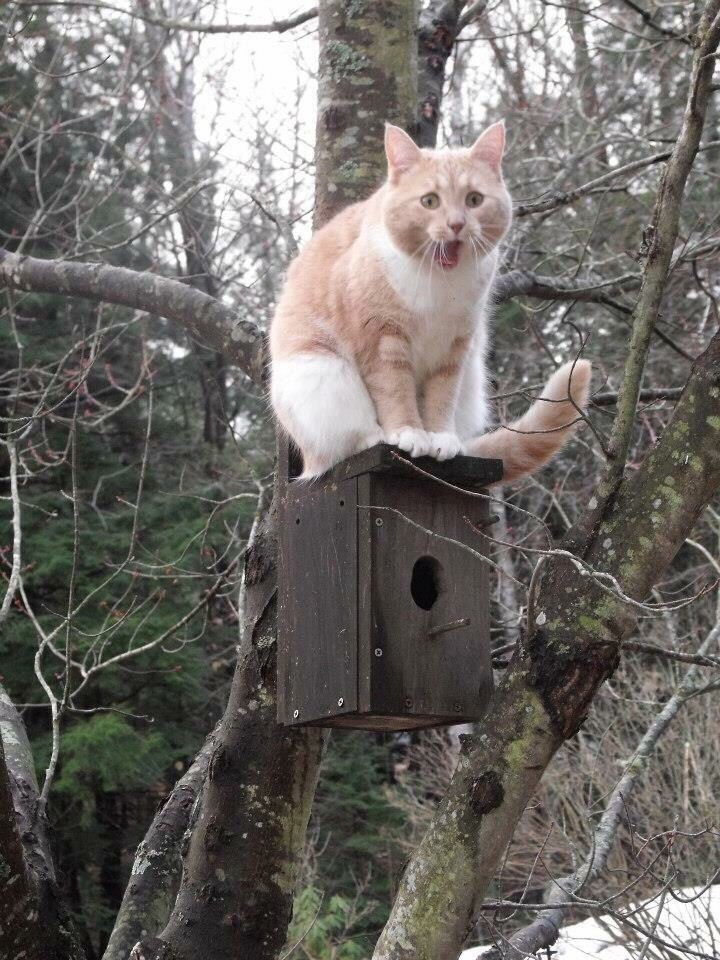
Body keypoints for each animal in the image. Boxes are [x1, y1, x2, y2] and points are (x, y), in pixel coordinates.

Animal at [270, 120, 592, 480]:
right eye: (429, 201)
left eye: (474, 199)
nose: (456, 224)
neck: (439, 281)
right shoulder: (382, 339)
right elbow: (395, 390)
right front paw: (408, 432)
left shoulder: (456, 346)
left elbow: (441, 395)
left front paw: (439, 437)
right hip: (320, 373)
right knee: (341, 444)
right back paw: (374, 438)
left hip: (471, 378)